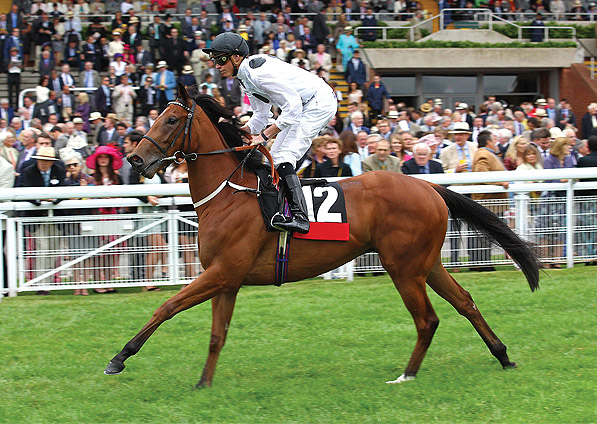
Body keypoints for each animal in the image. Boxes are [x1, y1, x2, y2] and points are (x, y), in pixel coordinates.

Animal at [103, 84, 540, 386]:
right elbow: (216, 335)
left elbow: (166, 307)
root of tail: (429, 187)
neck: (229, 192)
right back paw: (503, 356)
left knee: (427, 319)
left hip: (403, 268)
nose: (135, 159)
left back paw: (406, 375)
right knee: (464, 302)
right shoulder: (226, 279)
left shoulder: (223, 272)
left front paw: (119, 358)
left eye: (171, 120)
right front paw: (204, 384)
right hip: (425, 264)